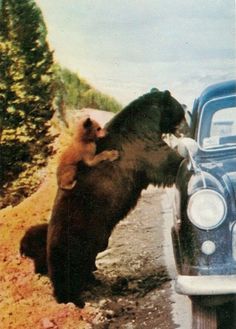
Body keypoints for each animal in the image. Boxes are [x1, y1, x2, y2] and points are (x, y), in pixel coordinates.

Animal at [19, 88, 184, 306]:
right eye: (179, 109)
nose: (185, 117)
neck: (146, 121)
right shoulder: (143, 148)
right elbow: (165, 162)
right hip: (74, 240)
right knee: (67, 272)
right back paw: (72, 299)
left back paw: (93, 280)